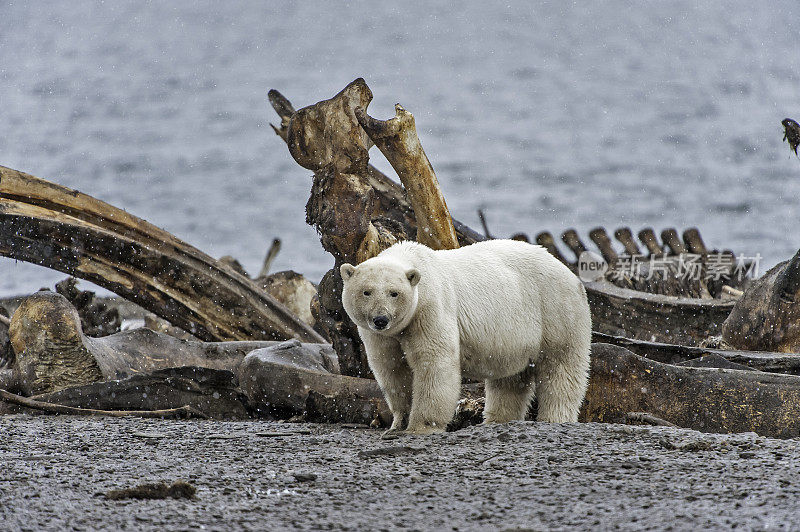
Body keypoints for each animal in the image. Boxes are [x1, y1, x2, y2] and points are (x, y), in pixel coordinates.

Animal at [340, 239, 592, 434]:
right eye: (366, 292)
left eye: (394, 293)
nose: (380, 319)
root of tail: (570, 273)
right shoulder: (382, 336)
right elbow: (391, 368)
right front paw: (397, 424)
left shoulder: (431, 308)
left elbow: (433, 361)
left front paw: (421, 426)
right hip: (514, 335)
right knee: (510, 379)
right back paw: (496, 420)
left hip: (555, 311)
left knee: (560, 369)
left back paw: (554, 418)